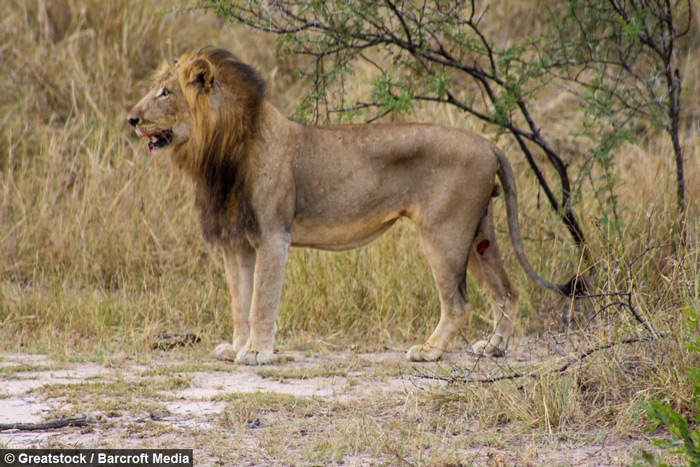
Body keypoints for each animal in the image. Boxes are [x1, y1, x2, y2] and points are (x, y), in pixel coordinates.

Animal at [127, 46, 576, 366]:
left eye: (165, 92)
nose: (131, 118)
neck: (217, 152)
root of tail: (488, 143)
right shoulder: (236, 241)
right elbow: (239, 301)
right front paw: (236, 347)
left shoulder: (273, 235)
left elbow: (261, 301)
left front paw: (257, 352)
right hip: (479, 232)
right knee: (507, 292)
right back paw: (494, 348)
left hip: (444, 232)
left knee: (459, 303)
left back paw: (429, 350)